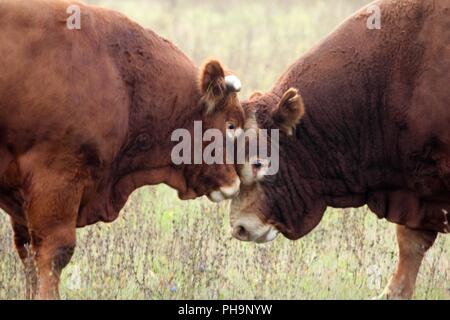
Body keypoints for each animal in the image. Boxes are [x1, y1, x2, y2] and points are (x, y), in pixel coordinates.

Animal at [0, 0, 246, 298]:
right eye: (231, 124)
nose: (234, 183)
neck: (119, 77)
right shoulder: (56, 180)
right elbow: (53, 256)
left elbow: (28, 259)